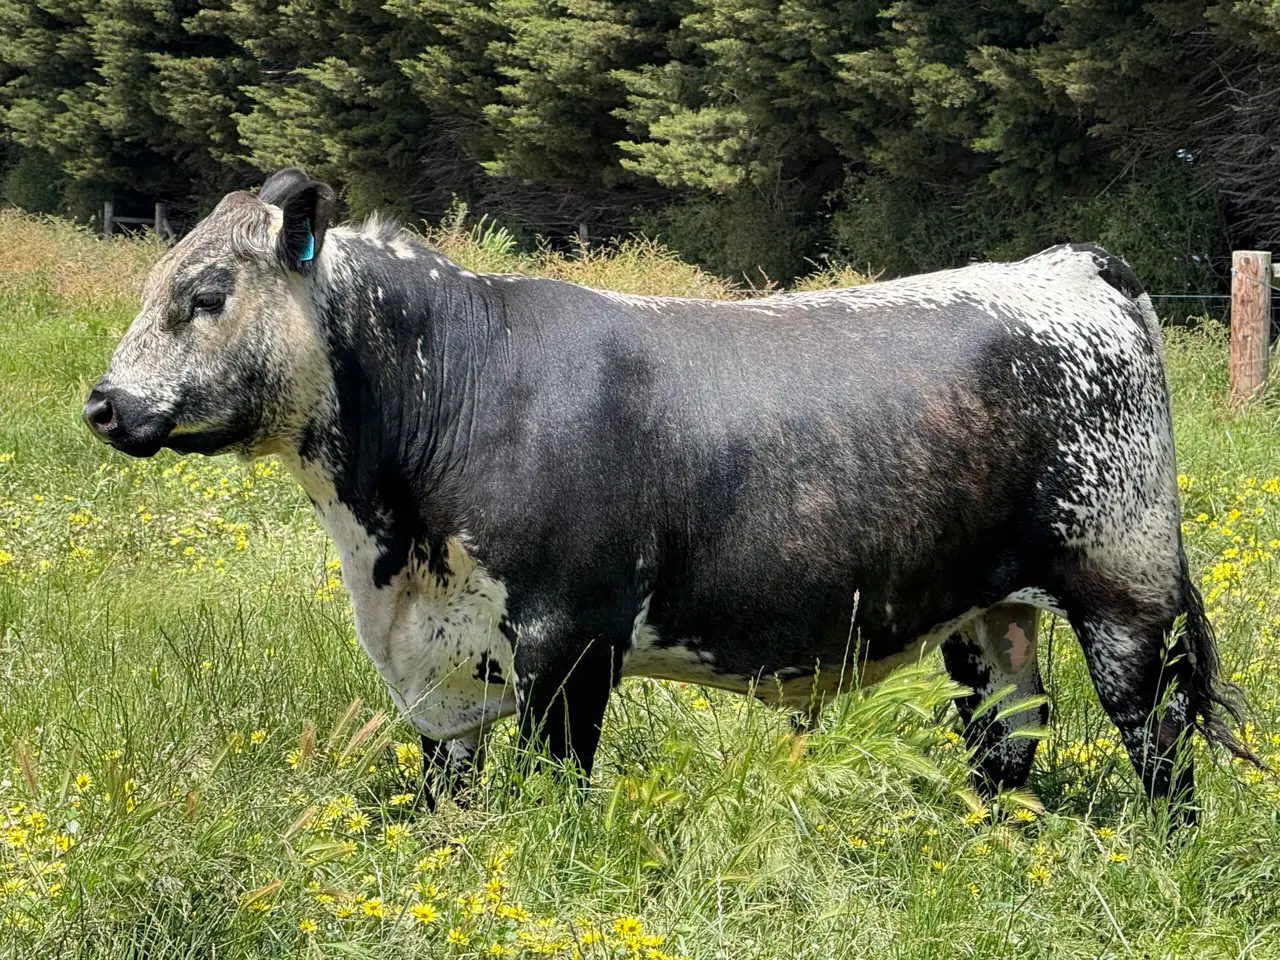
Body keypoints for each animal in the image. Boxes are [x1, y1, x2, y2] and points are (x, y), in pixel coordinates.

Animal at [83, 168, 1254, 822]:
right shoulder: (442, 660)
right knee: (1007, 734)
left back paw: (1163, 851)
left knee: (1156, 741)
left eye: (206, 294)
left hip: (1124, 593)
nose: (102, 404)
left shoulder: (569, 639)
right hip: (991, 609)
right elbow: (446, 791)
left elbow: (556, 784)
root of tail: (1064, 265)